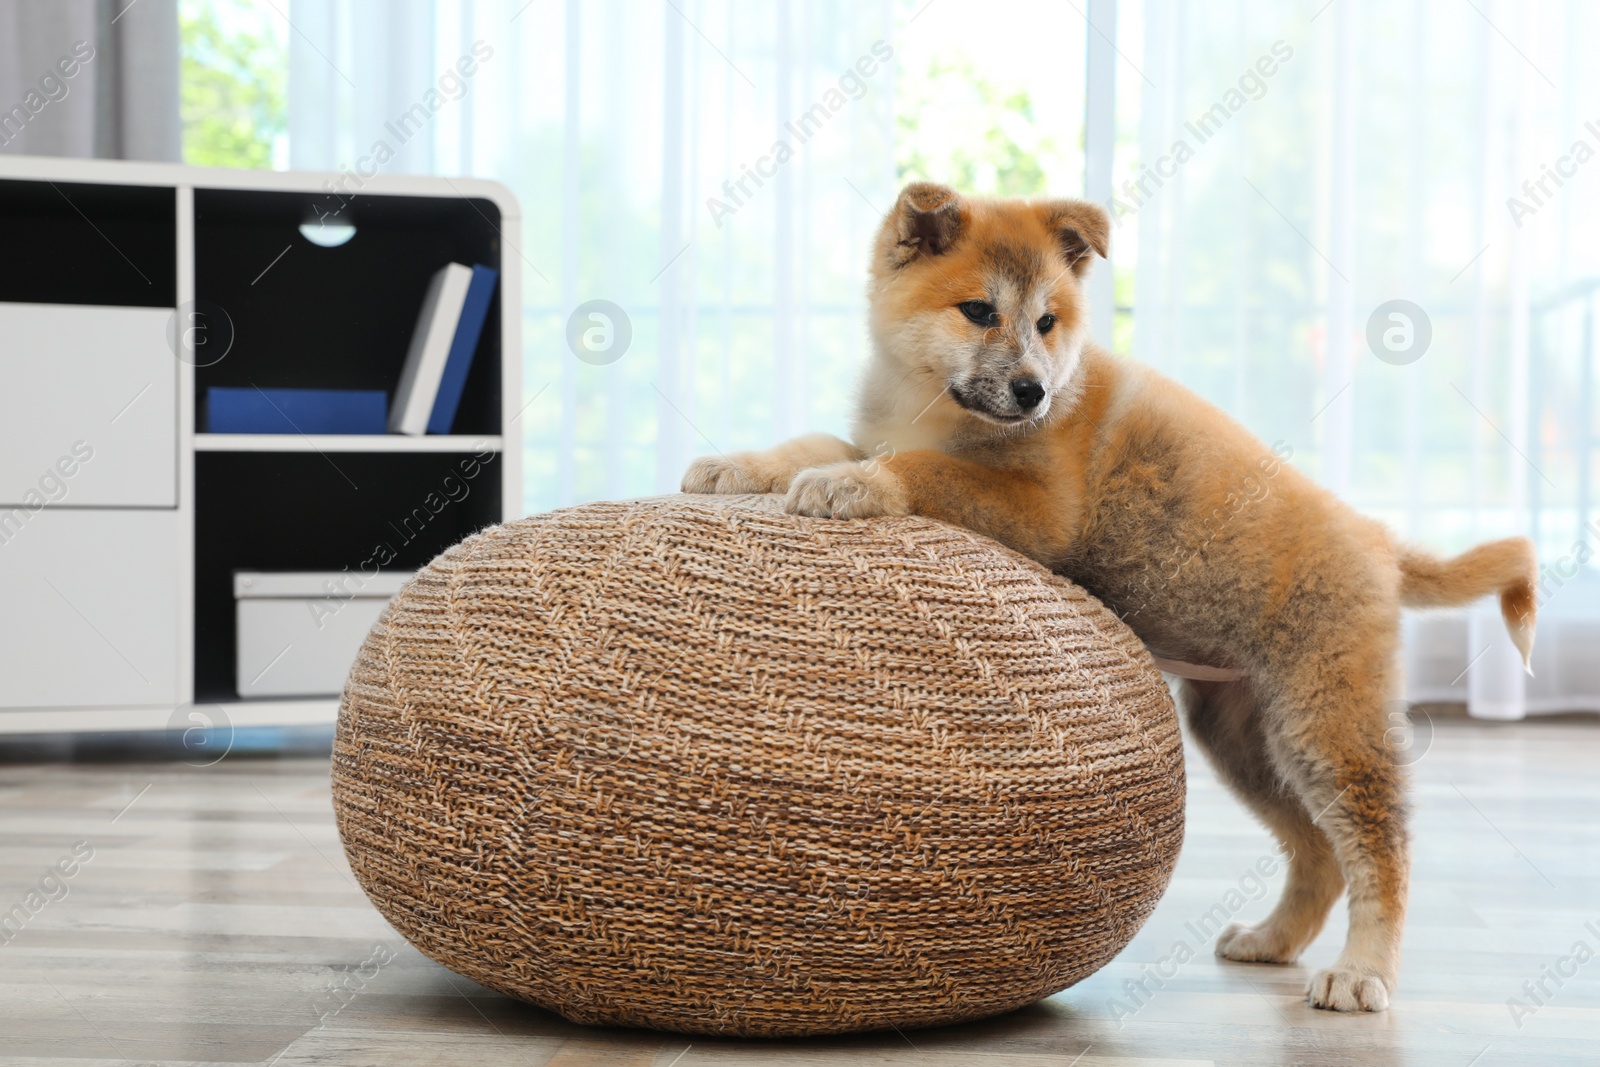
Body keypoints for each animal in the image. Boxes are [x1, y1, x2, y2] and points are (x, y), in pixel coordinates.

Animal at [684, 179, 1536, 1017]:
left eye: (1047, 322)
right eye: (980, 311)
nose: (1032, 392)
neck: (930, 400)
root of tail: (1378, 539)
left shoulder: (1039, 507)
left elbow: (925, 468)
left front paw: (854, 485)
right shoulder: (886, 431)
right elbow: (818, 442)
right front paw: (739, 464)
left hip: (1326, 721)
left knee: (1378, 846)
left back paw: (1362, 971)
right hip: (1241, 737)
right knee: (1318, 853)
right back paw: (1273, 939)